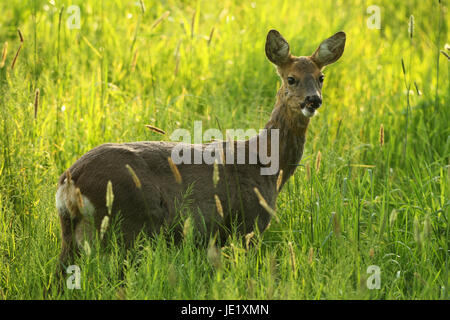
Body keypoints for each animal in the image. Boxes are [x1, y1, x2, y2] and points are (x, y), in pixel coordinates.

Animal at [55, 29, 344, 272]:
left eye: (321, 77)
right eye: (291, 79)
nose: (313, 100)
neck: (267, 164)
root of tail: (69, 180)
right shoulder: (250, 222)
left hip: (74, 232)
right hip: (128, 223)